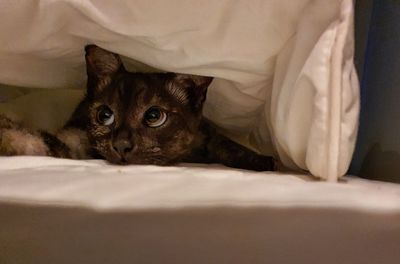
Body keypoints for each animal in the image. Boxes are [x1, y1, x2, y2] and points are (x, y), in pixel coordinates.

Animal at [0, 45, 276, 171]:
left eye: (154, 116)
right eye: (105, 115)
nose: (121, 145)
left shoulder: (208, 132)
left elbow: (223, 143)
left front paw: (263, 161)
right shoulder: (74, 137)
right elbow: (44, 141)